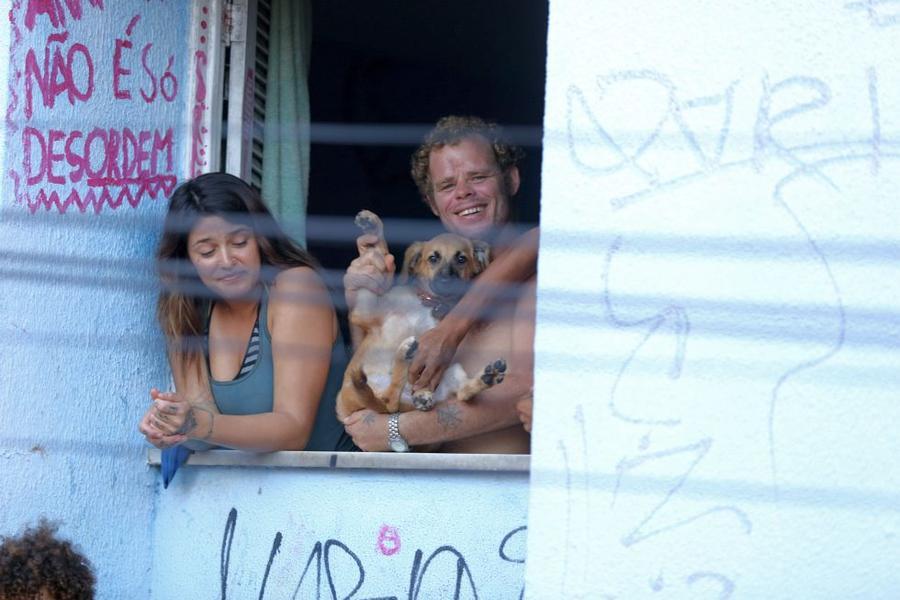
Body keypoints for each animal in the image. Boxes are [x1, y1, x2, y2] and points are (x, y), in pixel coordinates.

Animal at [338, 211, 506, 422]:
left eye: (462, 259)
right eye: (433, 258)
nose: (446, 281)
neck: (428, 304)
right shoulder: (365, 311)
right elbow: (381, 252)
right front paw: (372, 227)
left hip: (450, 369)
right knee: (390, 400)